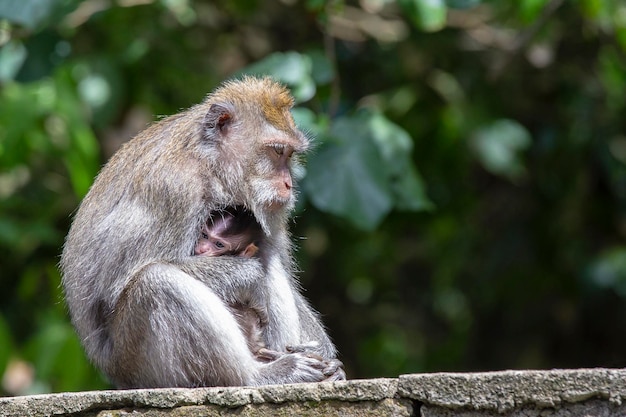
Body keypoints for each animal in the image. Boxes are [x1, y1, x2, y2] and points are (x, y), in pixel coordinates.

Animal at [60, 75, 344, 386]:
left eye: (290, 154)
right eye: (277, 151)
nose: (288, 184)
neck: (209, 165)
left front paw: (329, 359)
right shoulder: (175, 189)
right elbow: (114, 288)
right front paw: (247, 273)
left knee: (267, 255)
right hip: (140, 364)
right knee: (156, 282)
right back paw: (257, 376)